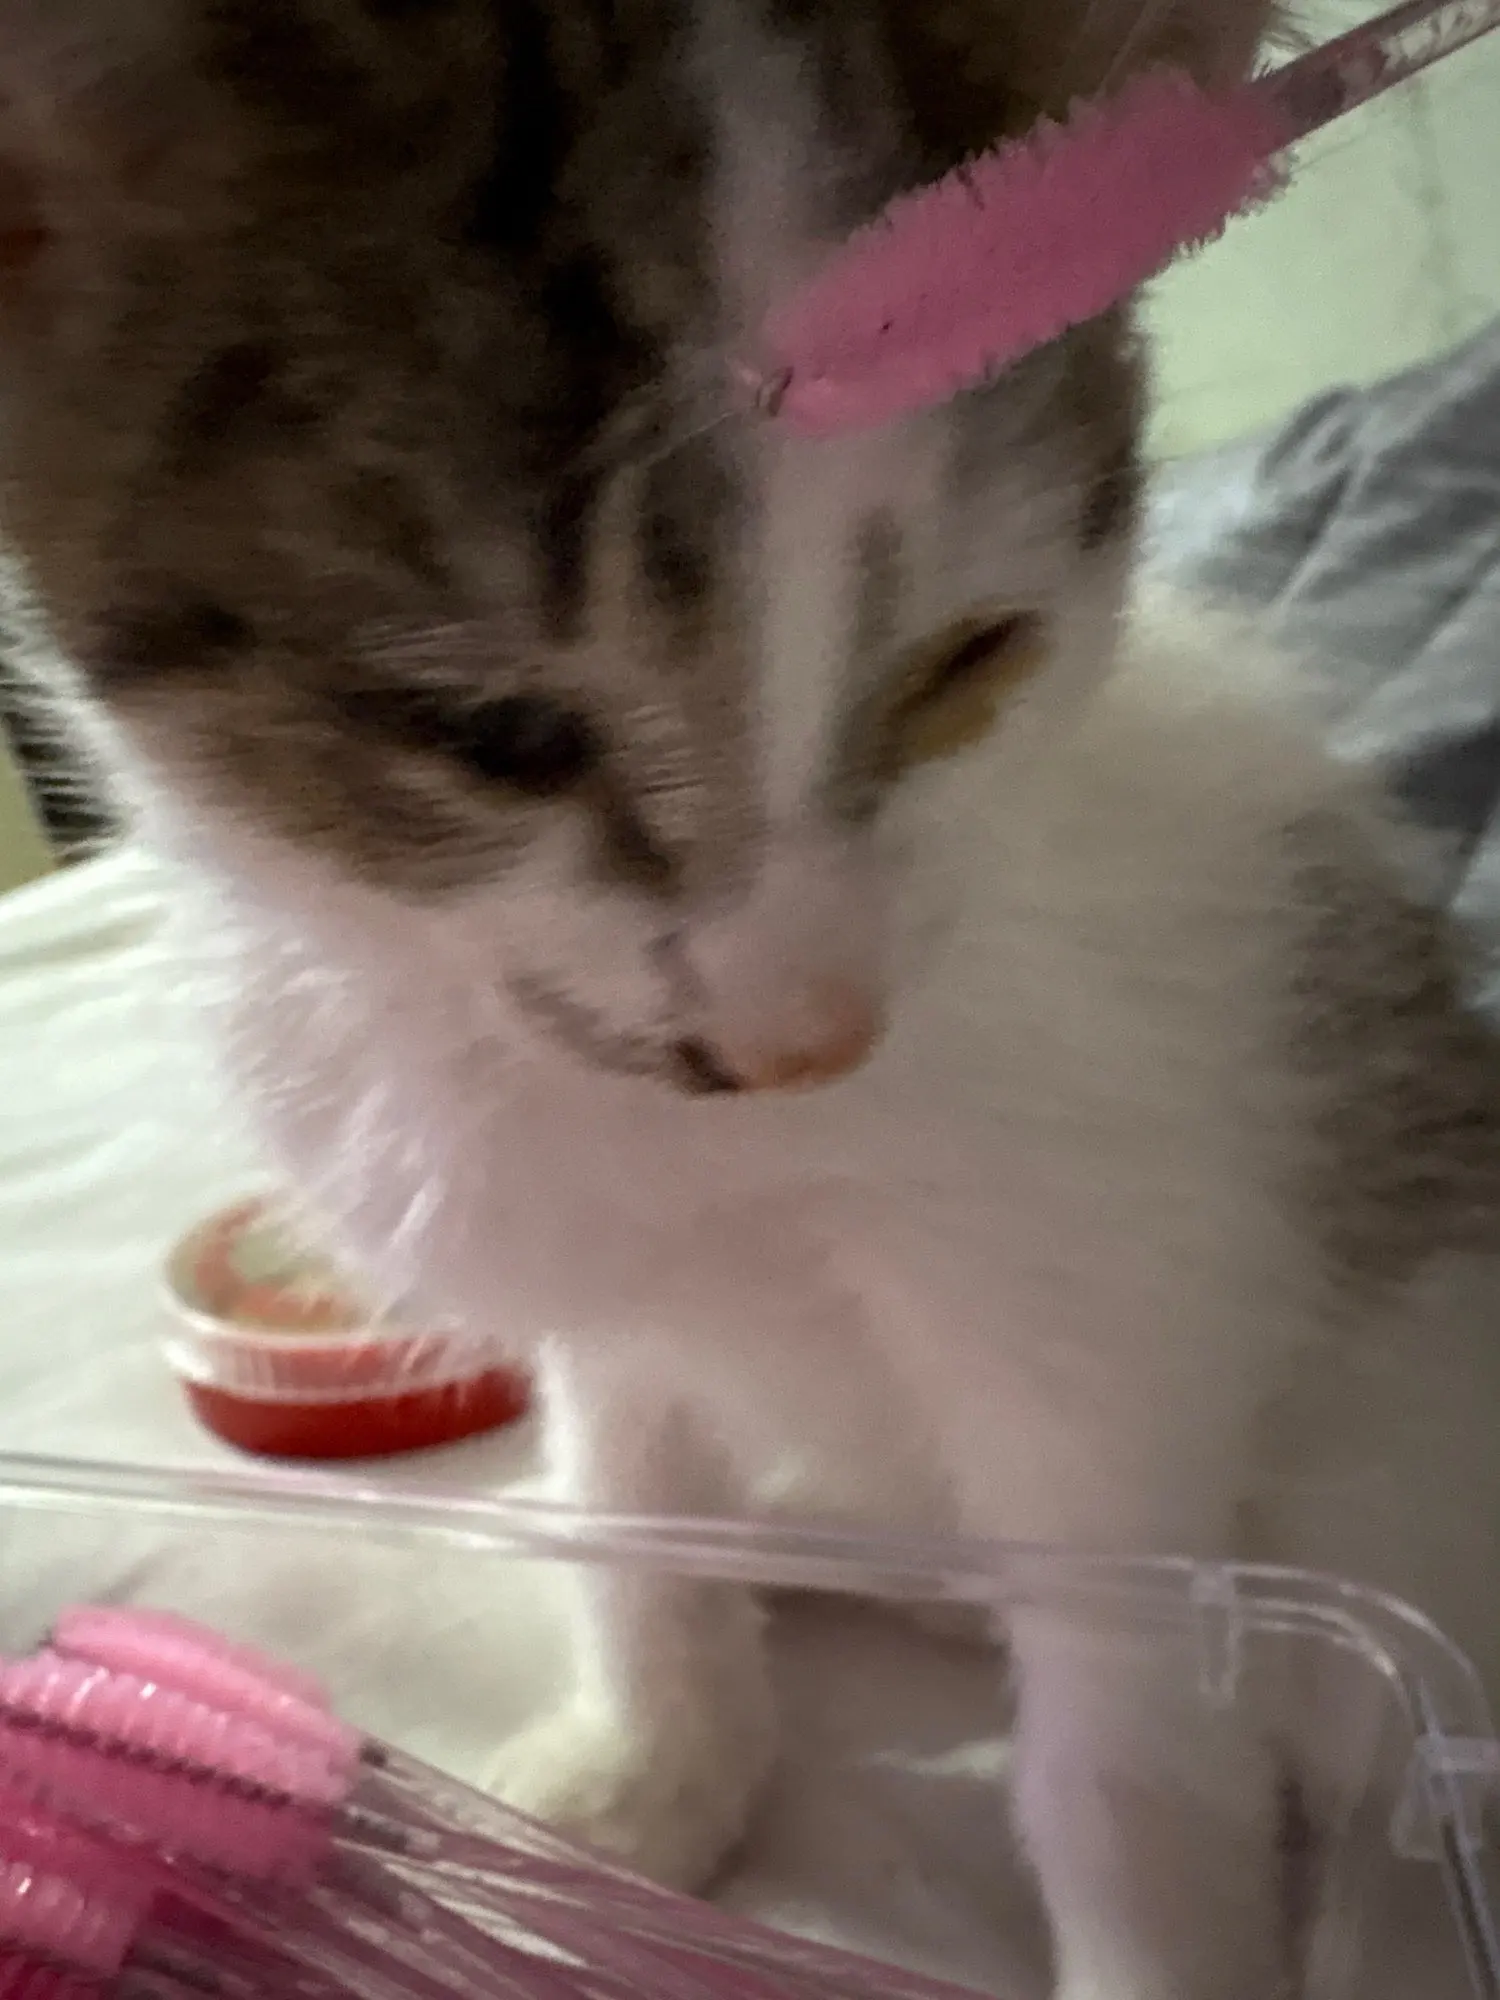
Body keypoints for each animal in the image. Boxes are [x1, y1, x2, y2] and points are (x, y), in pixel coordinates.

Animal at [5, 3, 1500, 1997]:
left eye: (972, 661)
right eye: (495, 735)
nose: (804, 1040)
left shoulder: (1109, 1317)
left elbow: (1121, 1737)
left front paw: (1155, 1941)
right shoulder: (616, 1297)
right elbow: (626, 1501)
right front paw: (654, 1766)